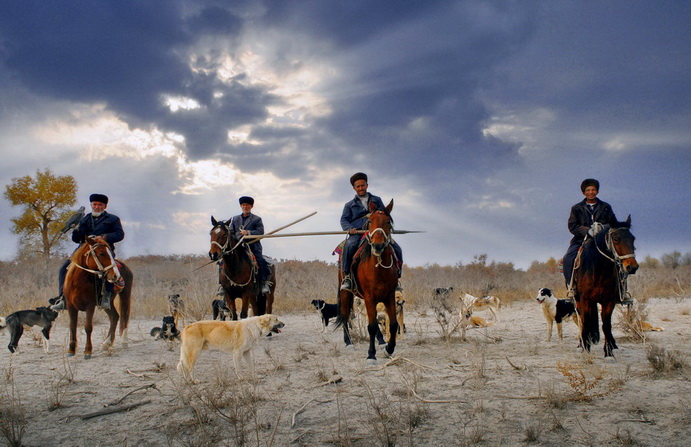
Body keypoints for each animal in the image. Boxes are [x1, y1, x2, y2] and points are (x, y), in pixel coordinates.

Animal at [336, 200, 400, 364]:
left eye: (388, 222)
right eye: (370, 221)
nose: (378, 246)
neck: (379, 267)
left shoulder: (389, 296)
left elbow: (393, 324)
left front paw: (389, 348)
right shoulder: (370, 297)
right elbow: (371, 326)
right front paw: (371, 355)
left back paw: (382, 341)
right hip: (346, 292)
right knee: (345, 314)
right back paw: (348, 342)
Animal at [576, 215, 640, 358]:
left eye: (633, 238)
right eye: (616, 239)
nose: (632, 267)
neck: (599, 270)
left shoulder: (609, 301)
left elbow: (606, 325)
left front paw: (609, 352)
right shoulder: (585, 300)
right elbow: (586, 322)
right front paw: (586, 348)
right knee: (582, 320)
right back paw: (581, 343)